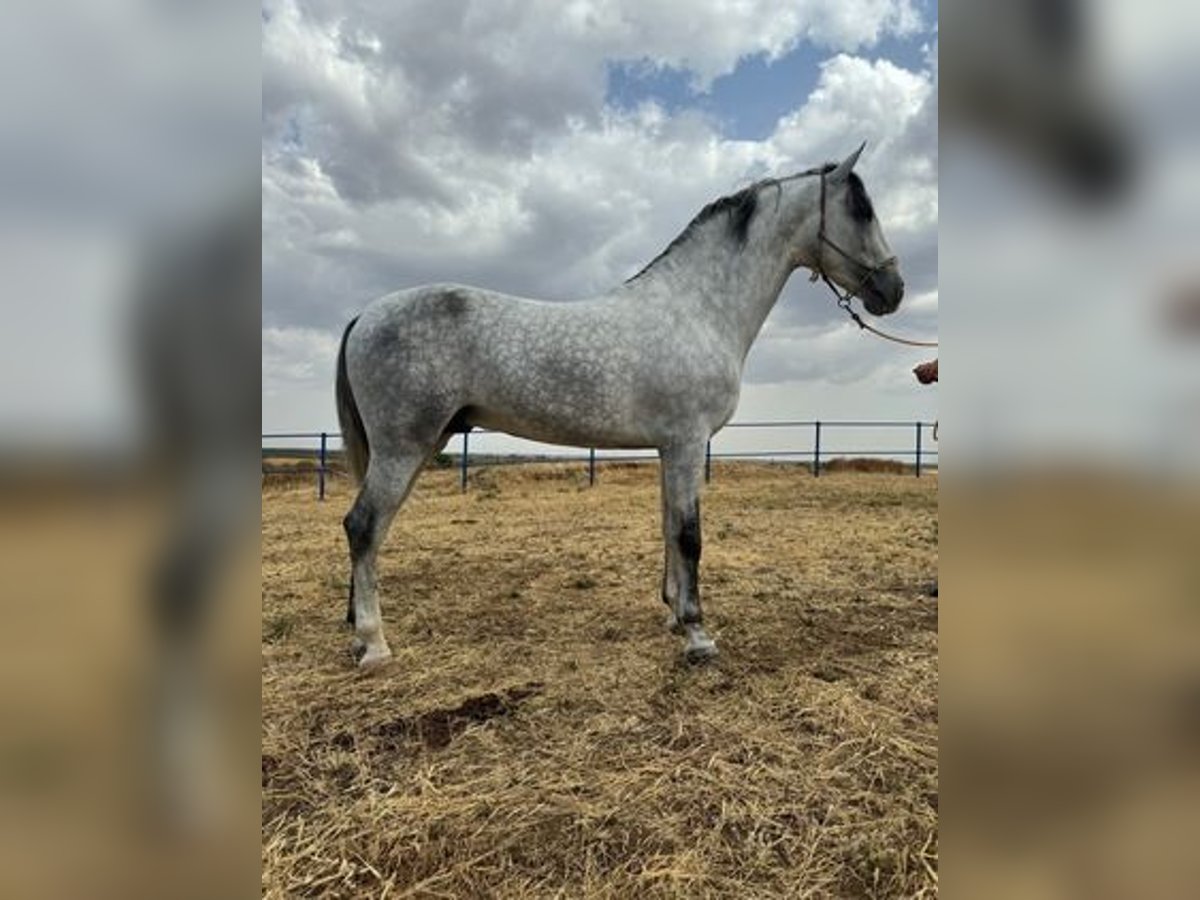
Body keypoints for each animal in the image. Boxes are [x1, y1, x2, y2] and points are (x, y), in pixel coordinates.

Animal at [336, 144, 902, 667]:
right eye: (862, 211)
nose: (893, 289)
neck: (697, 308)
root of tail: (365, 315)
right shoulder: (687, 442)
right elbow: (689, 534)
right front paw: (698, 634)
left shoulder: (669, 448)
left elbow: (669, 528)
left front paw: (674, 615)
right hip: (403, 447)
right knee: (363, 526)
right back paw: (375, 644)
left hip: (423, 444)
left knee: (372, 531)